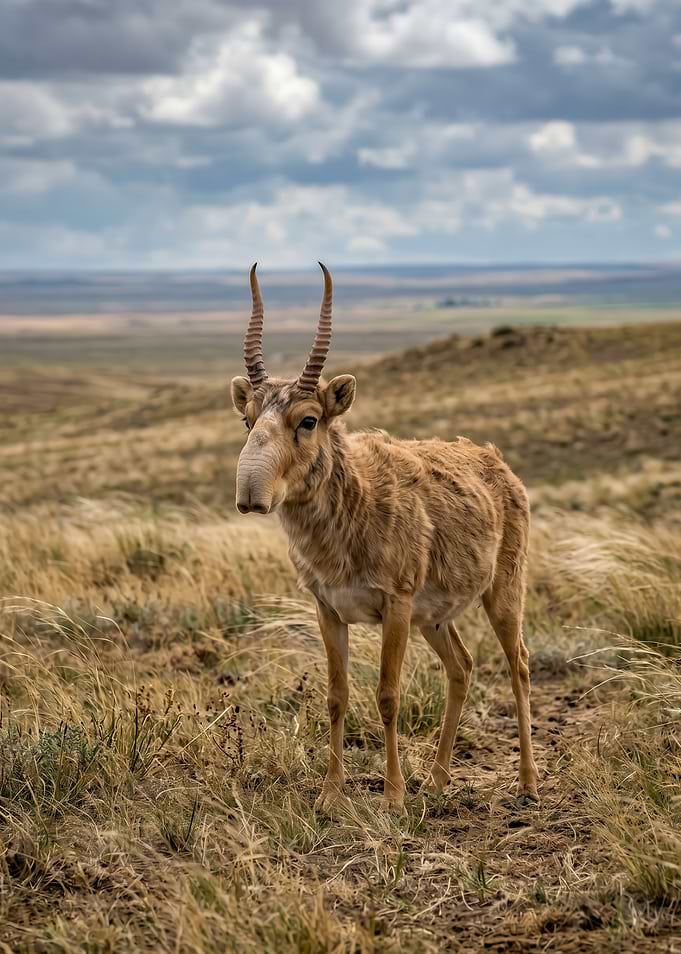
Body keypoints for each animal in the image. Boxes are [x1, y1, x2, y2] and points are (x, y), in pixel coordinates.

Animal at [231, 263, 539, 811]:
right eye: (247, 420)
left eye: (308, 420)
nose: (250, 492)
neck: (355, 506)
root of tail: (497, 461)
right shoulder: (328, 609)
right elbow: (336, 697)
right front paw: (331, 793)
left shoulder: (395, 606)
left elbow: (388, 695)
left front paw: (393, 795)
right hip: (434, 618)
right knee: (461, 667)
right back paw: (436, 781)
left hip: (503, 592)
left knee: (519, 663)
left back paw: (526, 783)